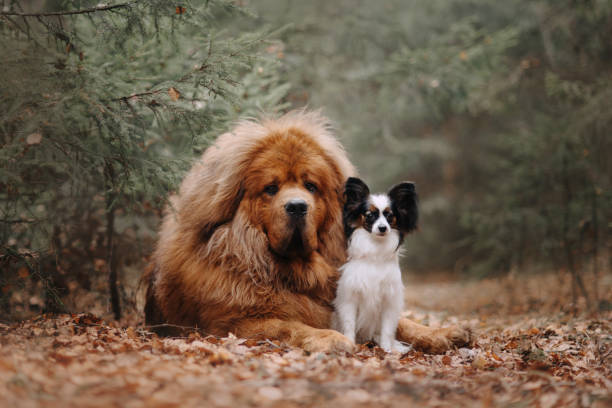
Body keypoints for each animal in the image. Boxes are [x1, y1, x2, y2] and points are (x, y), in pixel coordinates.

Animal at [332, 177, 418, 352]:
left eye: (389, 216)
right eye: (370, 215)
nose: (383, 228)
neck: (375, 252)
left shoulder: (389, 300)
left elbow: (387, 329)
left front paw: (386, 350)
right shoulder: (350, 297)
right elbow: (349, 324)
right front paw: (350, 343)